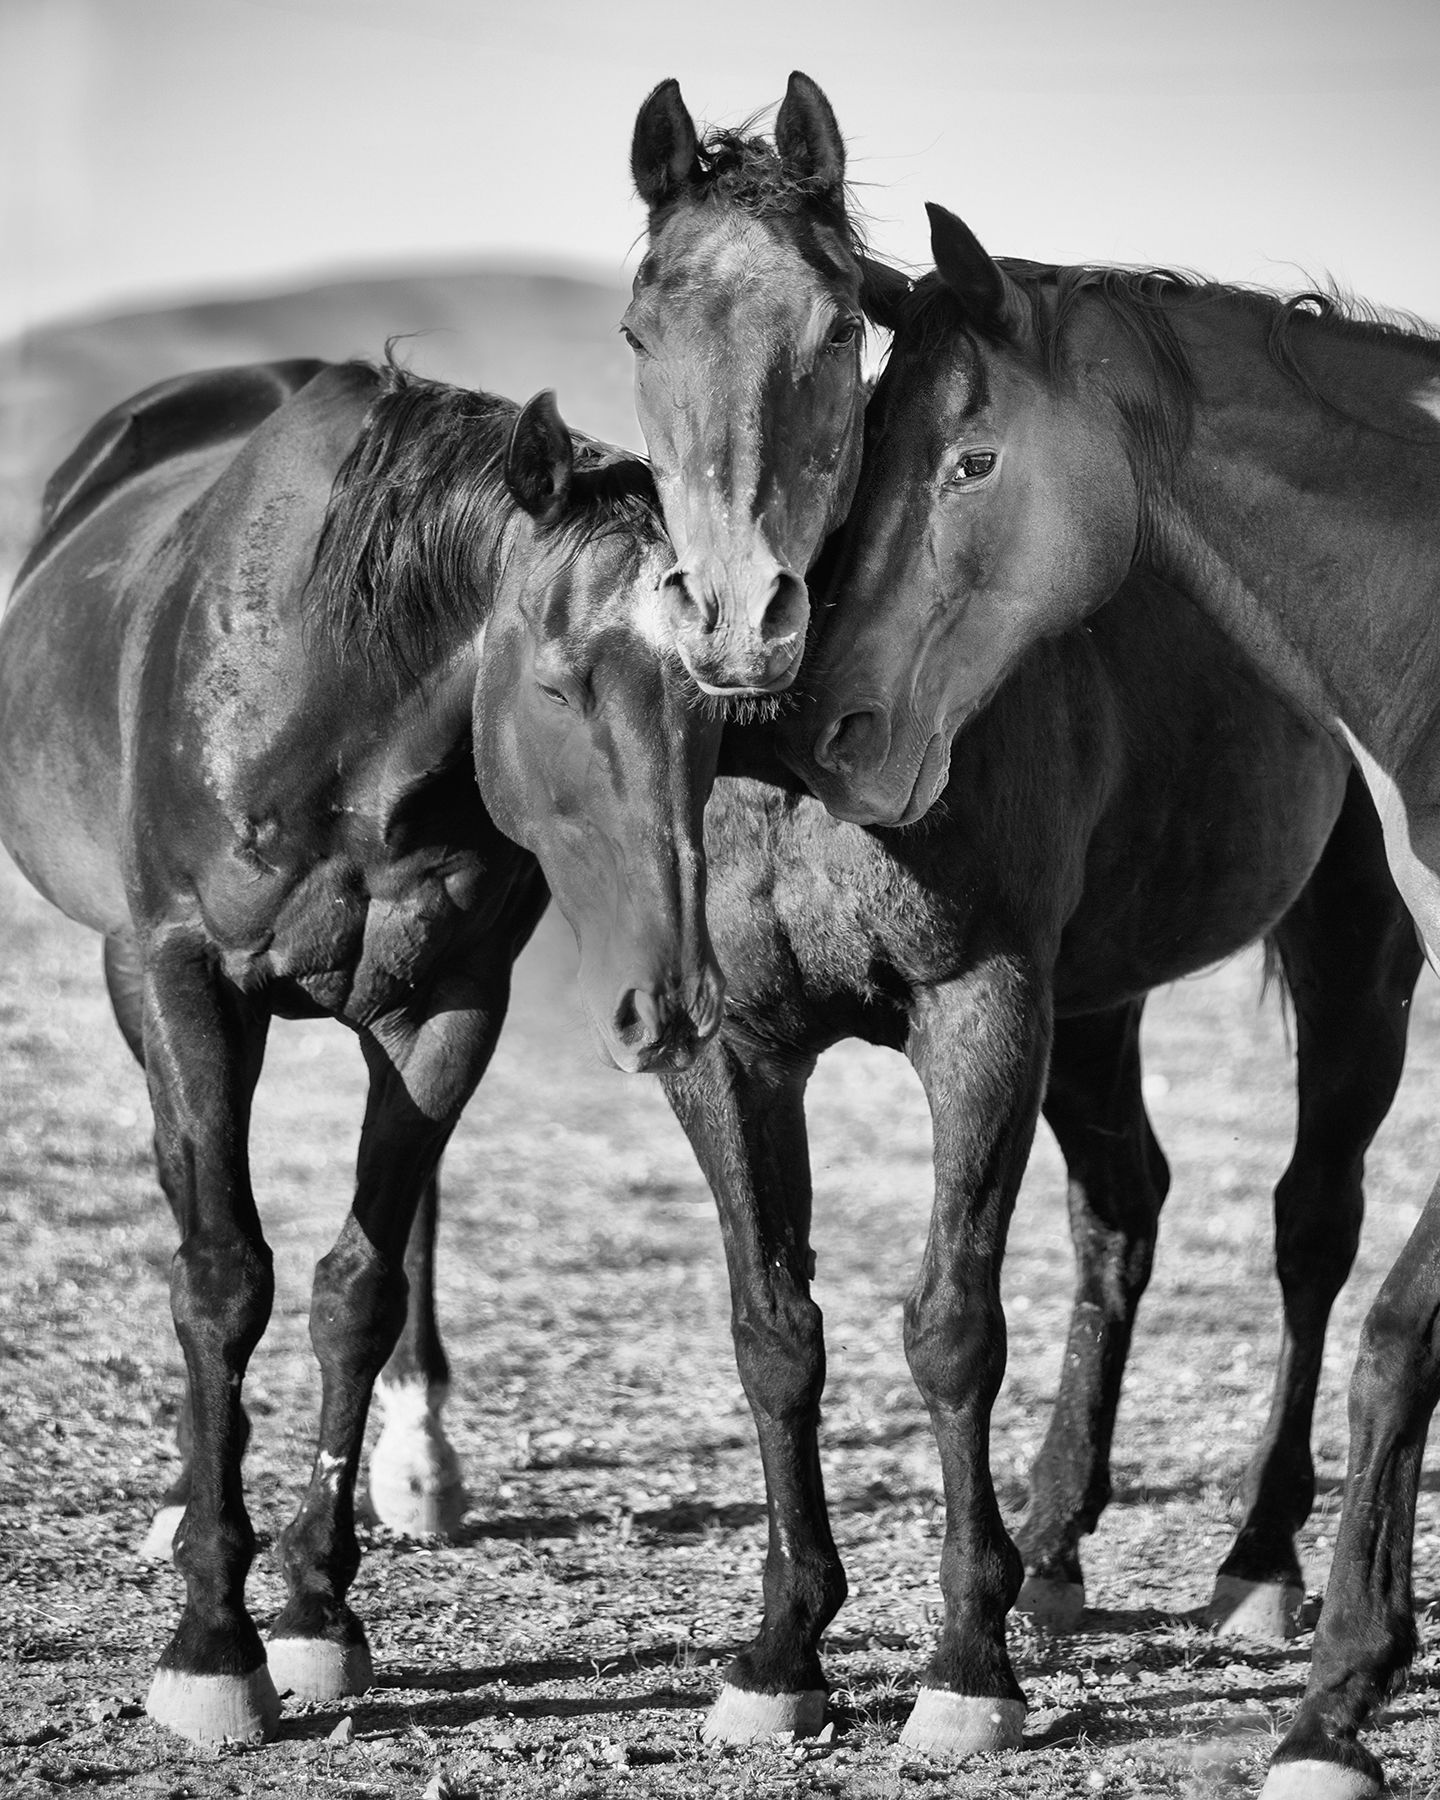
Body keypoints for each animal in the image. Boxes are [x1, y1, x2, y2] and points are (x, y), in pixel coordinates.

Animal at [0, 357, 723, 1747]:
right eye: (558, 684)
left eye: (724, 712)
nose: (670, 1005)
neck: (345, 717)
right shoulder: (180, 974)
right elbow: (222, 1275)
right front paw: (212, 1640)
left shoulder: (448, 1008)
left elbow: (358, 1291)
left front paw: (317, 1613)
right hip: (135, 973)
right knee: (186, 1184)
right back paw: (188, 1496)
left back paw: (418, 1456)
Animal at [787, 202, 1440, 1800]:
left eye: (969, 460)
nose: (834, 731)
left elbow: (1397, 1334)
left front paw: (1341, 1699)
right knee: (1141, 1210)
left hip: (1353, 972)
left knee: (1309, 1231)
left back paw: (1259, 1561)